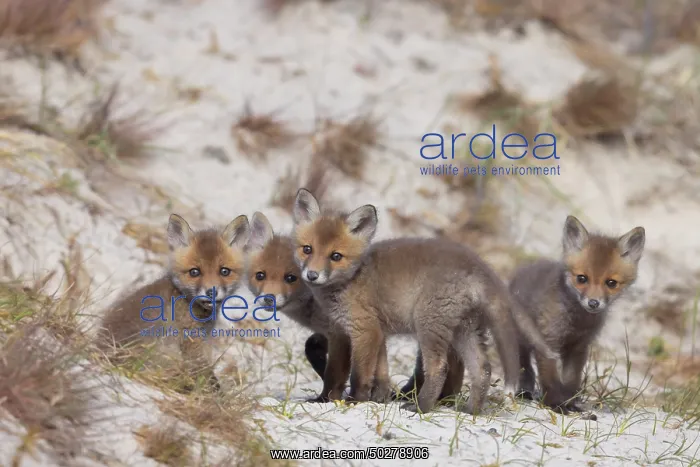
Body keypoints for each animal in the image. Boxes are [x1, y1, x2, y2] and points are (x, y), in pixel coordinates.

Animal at [291, 188, 558, 414]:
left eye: (336, 256)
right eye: (307, 249)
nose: (312, 275)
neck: (354, 278)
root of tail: (480, 265)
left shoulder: (365, 330)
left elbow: (361, 375)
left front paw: (355, 401)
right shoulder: (380, 333)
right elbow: (382, 373)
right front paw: (379, 399)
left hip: (429, 326)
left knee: (440, 367)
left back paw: (422, 407)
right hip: (465, 331)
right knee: (482, 369)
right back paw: (470, 411)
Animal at [509, 215, 645, 414]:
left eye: (611, 283)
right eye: (582, 278)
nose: (593, 303)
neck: (577, 323)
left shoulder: (579, 347)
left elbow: (571, 381)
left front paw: (570, 403)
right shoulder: (548, 341)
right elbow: (549, 378)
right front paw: (555, 404)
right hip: (522, 337)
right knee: (524, 364)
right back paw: (524, 391)